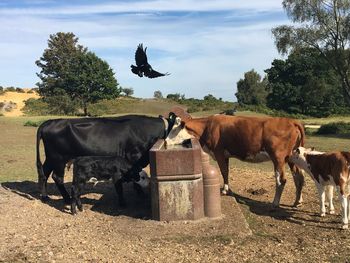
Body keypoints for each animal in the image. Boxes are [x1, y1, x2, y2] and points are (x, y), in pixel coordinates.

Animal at [36, 113, 178, 204]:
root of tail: (50, 121)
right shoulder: (134, 156)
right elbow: (136, 176)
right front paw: (140, 193)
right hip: (58, 158)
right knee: (57, 177)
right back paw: (67, 199)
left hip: (51, 158)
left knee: (44, 173)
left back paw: (44, 196)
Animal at [165, 115, 304, 208]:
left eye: (174, 130)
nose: (165, 142)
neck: (207, 127)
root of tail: (291, 121)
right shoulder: (225, 155)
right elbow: (226, 172)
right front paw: (227, 189)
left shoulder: (219, 153)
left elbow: (223, 171)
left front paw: (225, 190)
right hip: (292, 158)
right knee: (299, 178)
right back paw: (297, 201)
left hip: (278, 158)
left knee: (281, 180)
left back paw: (275, 203)